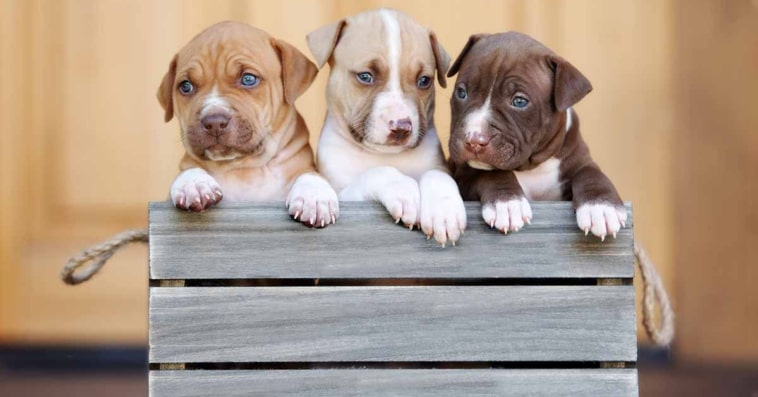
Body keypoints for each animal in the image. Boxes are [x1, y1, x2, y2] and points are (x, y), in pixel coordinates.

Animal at [158, 20, 338, 226]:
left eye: (248, 79)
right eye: (186, 86)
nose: (214, 122)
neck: (244, 168)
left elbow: (309, 173)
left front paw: (314, 197)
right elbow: (186, 170)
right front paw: (194, 183)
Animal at [310, 8, 470, 244]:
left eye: (424, 81)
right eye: (365, 76)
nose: (402, 127)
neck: (384, 154)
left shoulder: (437, 165)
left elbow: (437, 176)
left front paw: (445, 212)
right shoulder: (346, 195)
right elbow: (379, 172)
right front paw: (404, 190)